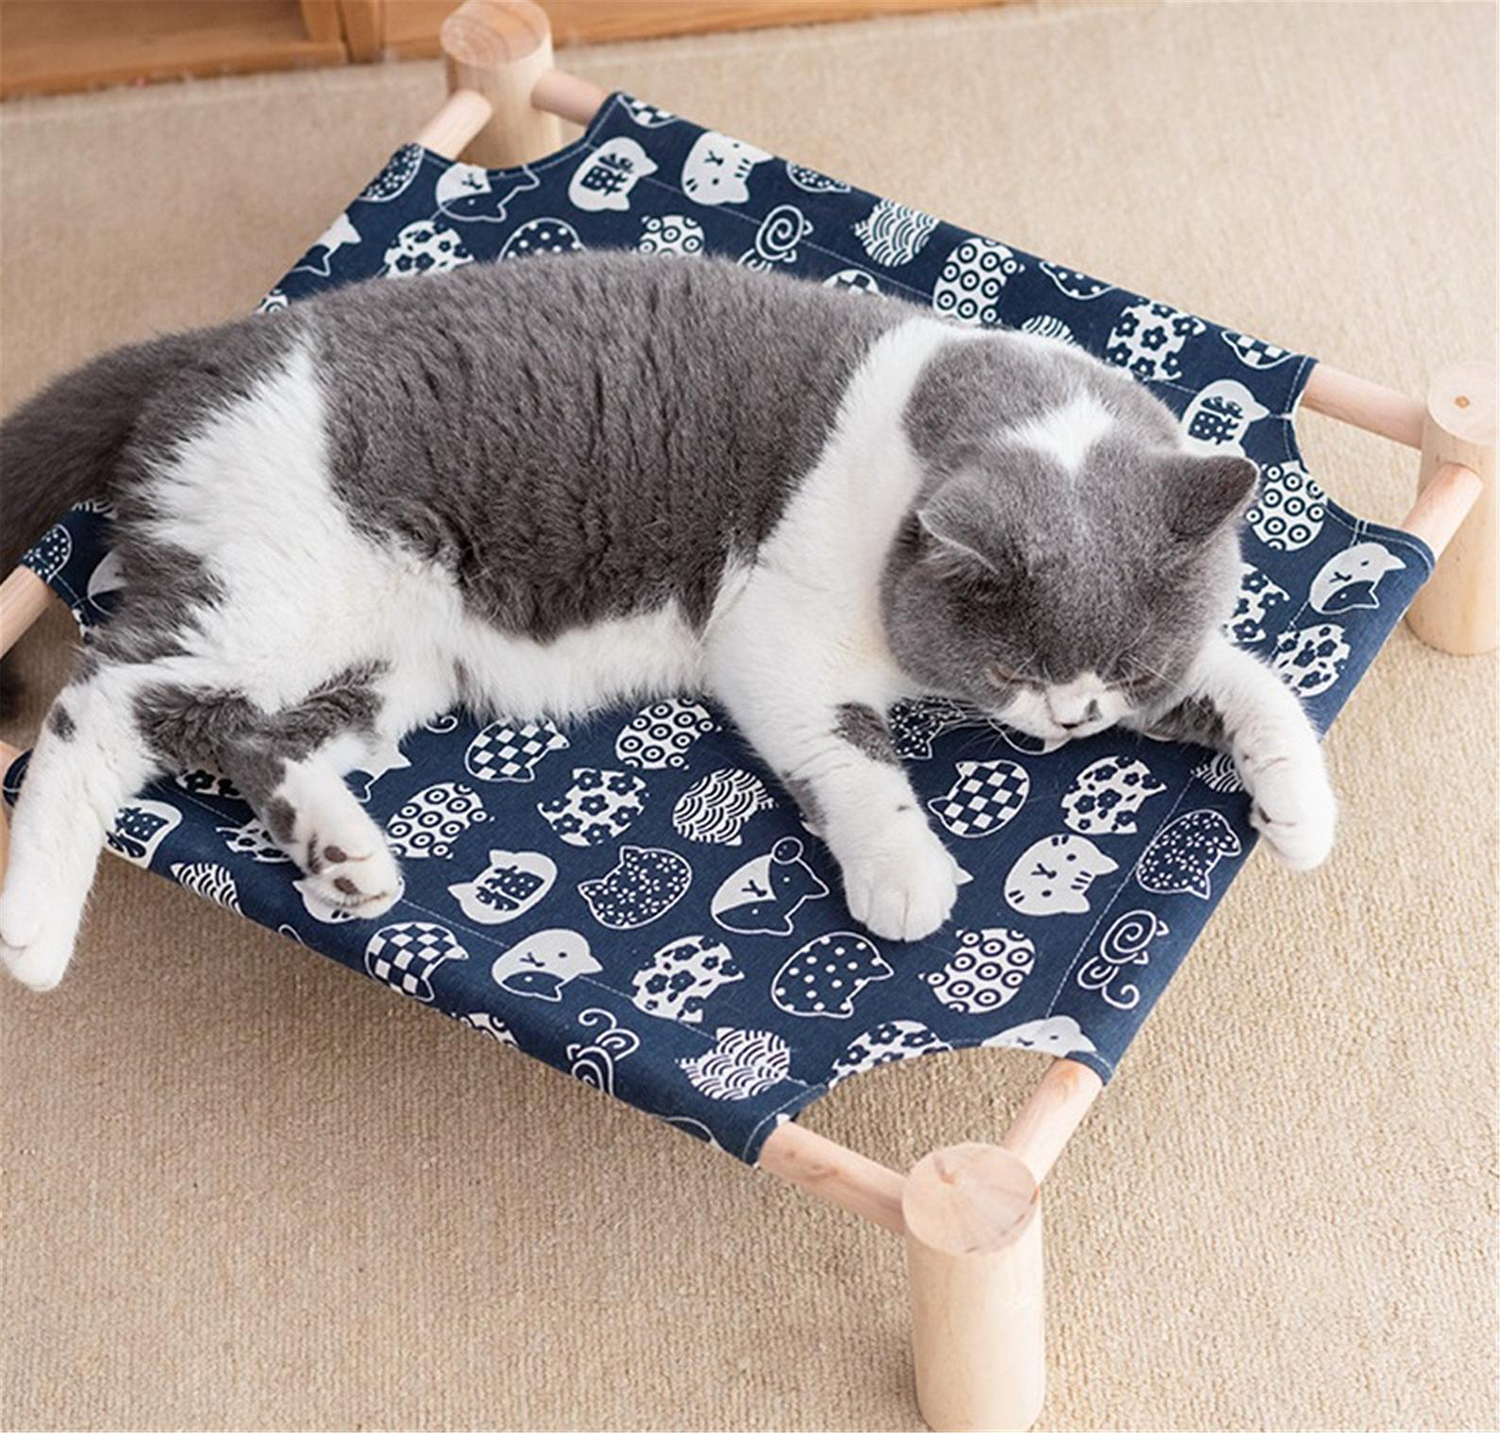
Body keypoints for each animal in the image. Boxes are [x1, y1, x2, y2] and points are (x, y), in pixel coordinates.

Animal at [0, 252, 1338, 990]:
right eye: (1014, 656)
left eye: (1124, 662)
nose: (1066, 725)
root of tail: (211, 346)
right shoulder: (775, 642)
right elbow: (857, 750)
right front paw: (906, 871)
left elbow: (1248, 677)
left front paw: (1299, 807)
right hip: (278, 587)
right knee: (105, 696)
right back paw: (35, 931)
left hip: (393, 658)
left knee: (238, 731)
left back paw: (341, 854)